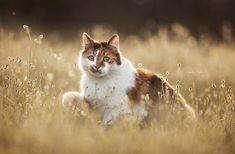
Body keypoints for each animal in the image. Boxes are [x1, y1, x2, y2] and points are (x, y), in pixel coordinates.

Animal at [62, 32, 195, 125]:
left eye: (106, 59)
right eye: (91, 58)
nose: (96, 66)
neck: (100, 81)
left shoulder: (118, 108)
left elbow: (108, 122)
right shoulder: (93, 103)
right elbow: (68, 97)